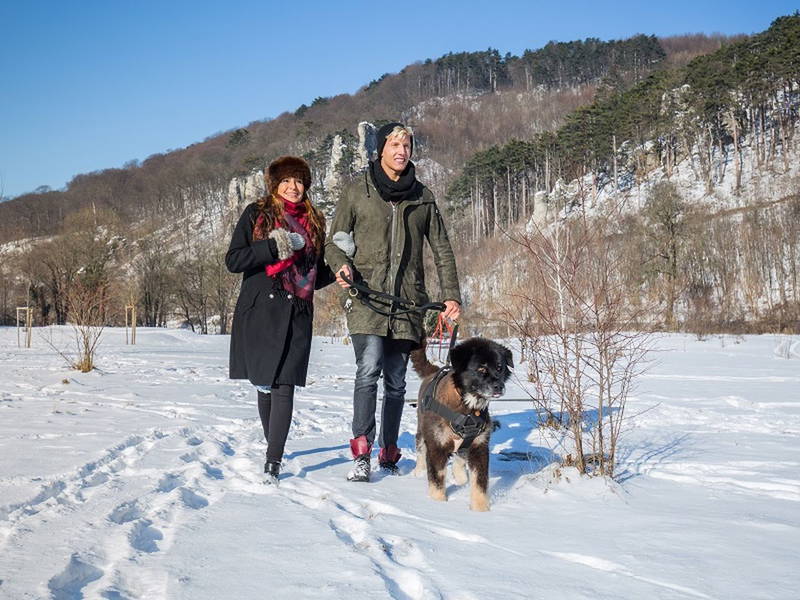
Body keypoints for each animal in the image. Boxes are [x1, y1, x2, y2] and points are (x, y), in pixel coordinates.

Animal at [410, 338, 516, 510]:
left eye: (500, 368)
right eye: (481, 368)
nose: (499, 387)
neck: (467, 407)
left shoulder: (479, 447)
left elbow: (480, 482)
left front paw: (480, 510)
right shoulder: (436, 446)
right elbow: (437, 480)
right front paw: (437, 504)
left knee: (459, 458)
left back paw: (460, 476)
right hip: (422, 431)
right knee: (420, 450)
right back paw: (418, 471)